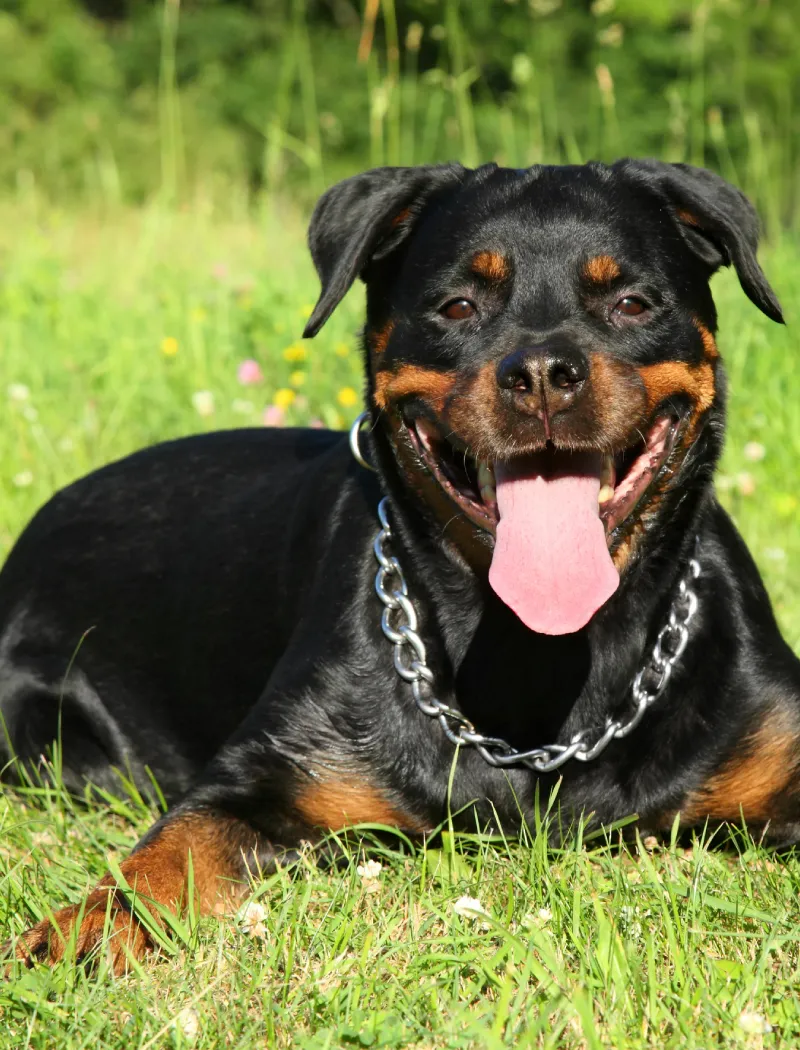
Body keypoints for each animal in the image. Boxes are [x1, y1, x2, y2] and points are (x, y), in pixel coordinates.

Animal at [3, 155, 793, 965]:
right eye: (457, 307)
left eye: (632, 303)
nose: (543, 370)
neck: (537, 652)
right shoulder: (262, 775)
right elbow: (169, 851)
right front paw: (85, 928)